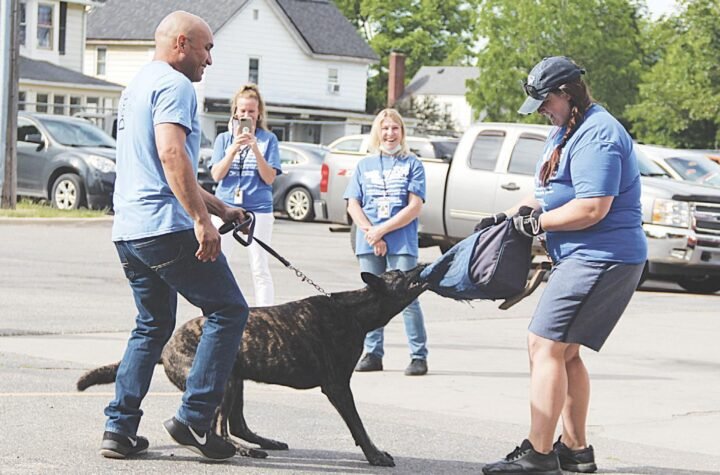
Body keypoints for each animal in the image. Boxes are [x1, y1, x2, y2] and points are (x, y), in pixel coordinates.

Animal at [77, 266, 428, 466]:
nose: (422, 264)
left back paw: (262, 443)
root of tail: (165, 349)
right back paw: (239, 451)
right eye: (400, 275)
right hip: (225, 381)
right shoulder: (338, 387)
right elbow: (358, 426)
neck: (354, 310)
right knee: (220, 428)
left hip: (237, 380)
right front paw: (375, 455)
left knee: (236, 426)